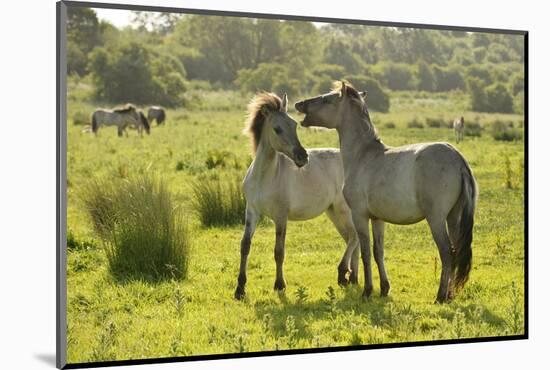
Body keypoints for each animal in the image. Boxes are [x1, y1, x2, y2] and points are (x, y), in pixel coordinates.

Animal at [234, 92, 360, 300]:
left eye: (294, 125)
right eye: (277, 129)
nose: (303, 157)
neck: (265, 177)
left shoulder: (280, 216)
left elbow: (279, 251)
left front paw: (279, 285)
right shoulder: (252, 212)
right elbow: (245, 246)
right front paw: (240, 289)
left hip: (344, 211)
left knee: (354, 237)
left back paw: (343, 274)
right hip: (333, 212)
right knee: (353, 239)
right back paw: (353, 278)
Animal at [298, 79, 478, 302]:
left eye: (326, 99)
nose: (299, 104)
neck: (363, 155)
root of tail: (457, 158)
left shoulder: (359, 215)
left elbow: (365, 252)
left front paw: (367, 290)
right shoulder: (377, 219)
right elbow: (378, 252)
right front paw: (384, 288)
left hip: (436, 219)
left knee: (447, 253)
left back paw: (440, 296)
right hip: (453, 217)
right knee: (456, 250)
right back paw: (451, 294)